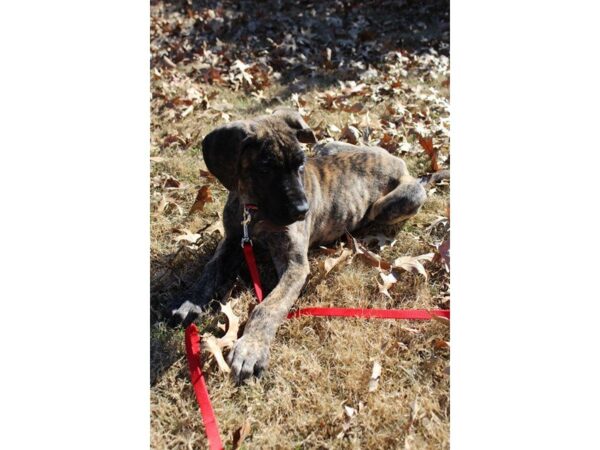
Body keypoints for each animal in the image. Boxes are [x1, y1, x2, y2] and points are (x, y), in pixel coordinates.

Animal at [168, 109, 446, 384]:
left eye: (301, 165)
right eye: (265, 168)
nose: (303, 211)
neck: (253, 211)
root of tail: (398, 162)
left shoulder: (295, 264)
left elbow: (268, 306)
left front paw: (250, 348)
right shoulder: (233, 241)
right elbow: (211, 270)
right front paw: (191, 302)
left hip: (390, 202)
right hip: (326, 145)